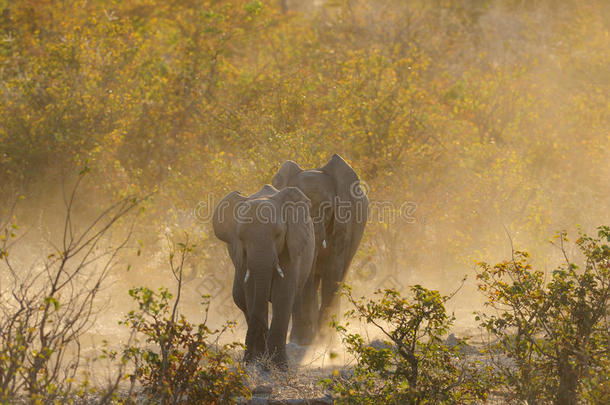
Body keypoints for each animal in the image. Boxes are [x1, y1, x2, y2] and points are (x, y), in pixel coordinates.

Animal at [211, 185, 314, 368]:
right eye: (241, 237)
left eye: (278, 234)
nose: (247, 360)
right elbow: (252, 292)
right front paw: (257, 360)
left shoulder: (291, 247)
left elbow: (283, 292)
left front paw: (279, 367)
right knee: (241, 299)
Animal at [272, 153, 368, 342]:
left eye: (327, 209)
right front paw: (301, 339)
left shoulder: (344, 221)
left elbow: (333, 270)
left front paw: (322, 340)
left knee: (340, 275)